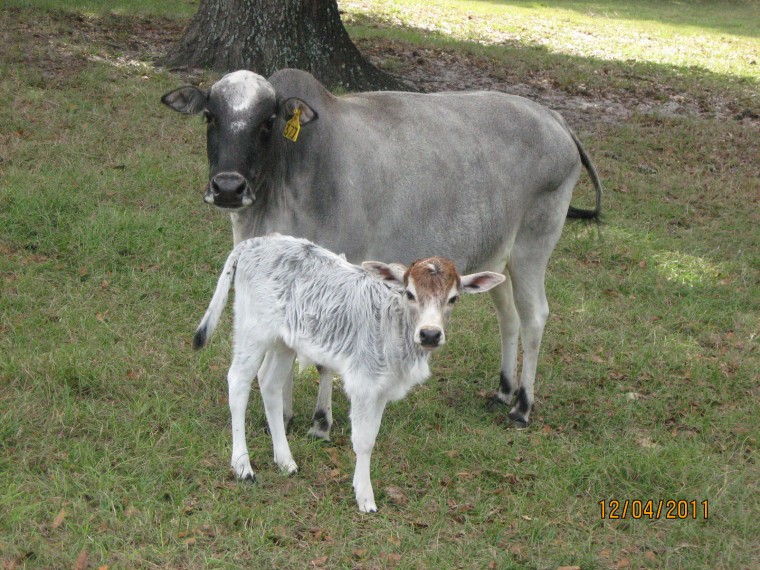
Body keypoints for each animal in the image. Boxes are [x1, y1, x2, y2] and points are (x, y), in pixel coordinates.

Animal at [162, 68, 602, 434]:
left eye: (268, 121)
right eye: (209, 116)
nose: (228, 188)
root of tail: (553, 117)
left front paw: (321, 422)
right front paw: (283, 417)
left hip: (533, 247)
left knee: (534, 318)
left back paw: (523, 406)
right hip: (500, 258)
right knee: (509, 318)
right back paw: (503, 391)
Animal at [193, 233, 505, 512]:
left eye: (453, 298)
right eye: (410, 294)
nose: (430, 334)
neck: (394, 329)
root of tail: (253, 243)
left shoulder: (382, 388)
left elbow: (373, 435)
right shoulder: (363, 383)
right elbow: (363, 440)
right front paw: (365, 497)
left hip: (284, 339)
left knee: (269, 383)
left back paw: (285, 460)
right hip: (252, 328)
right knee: (238, 381)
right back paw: (242, 465)